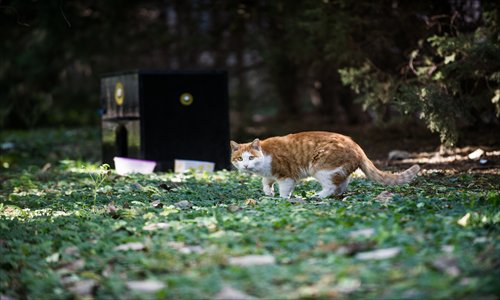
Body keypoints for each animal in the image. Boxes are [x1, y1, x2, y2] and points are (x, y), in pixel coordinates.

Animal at [232, 132, 420, 198]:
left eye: (251, 157)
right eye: (240, 159)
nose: (246, 166)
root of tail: (356, 146)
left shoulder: (287, 176)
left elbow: (284, 190)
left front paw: (282, 198)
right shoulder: (270, 175)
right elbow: (266, 182)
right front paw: (268, 191)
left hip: (321, 168)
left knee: (331, 186)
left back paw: (319, 196)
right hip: (337, 170)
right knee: (342, 184)